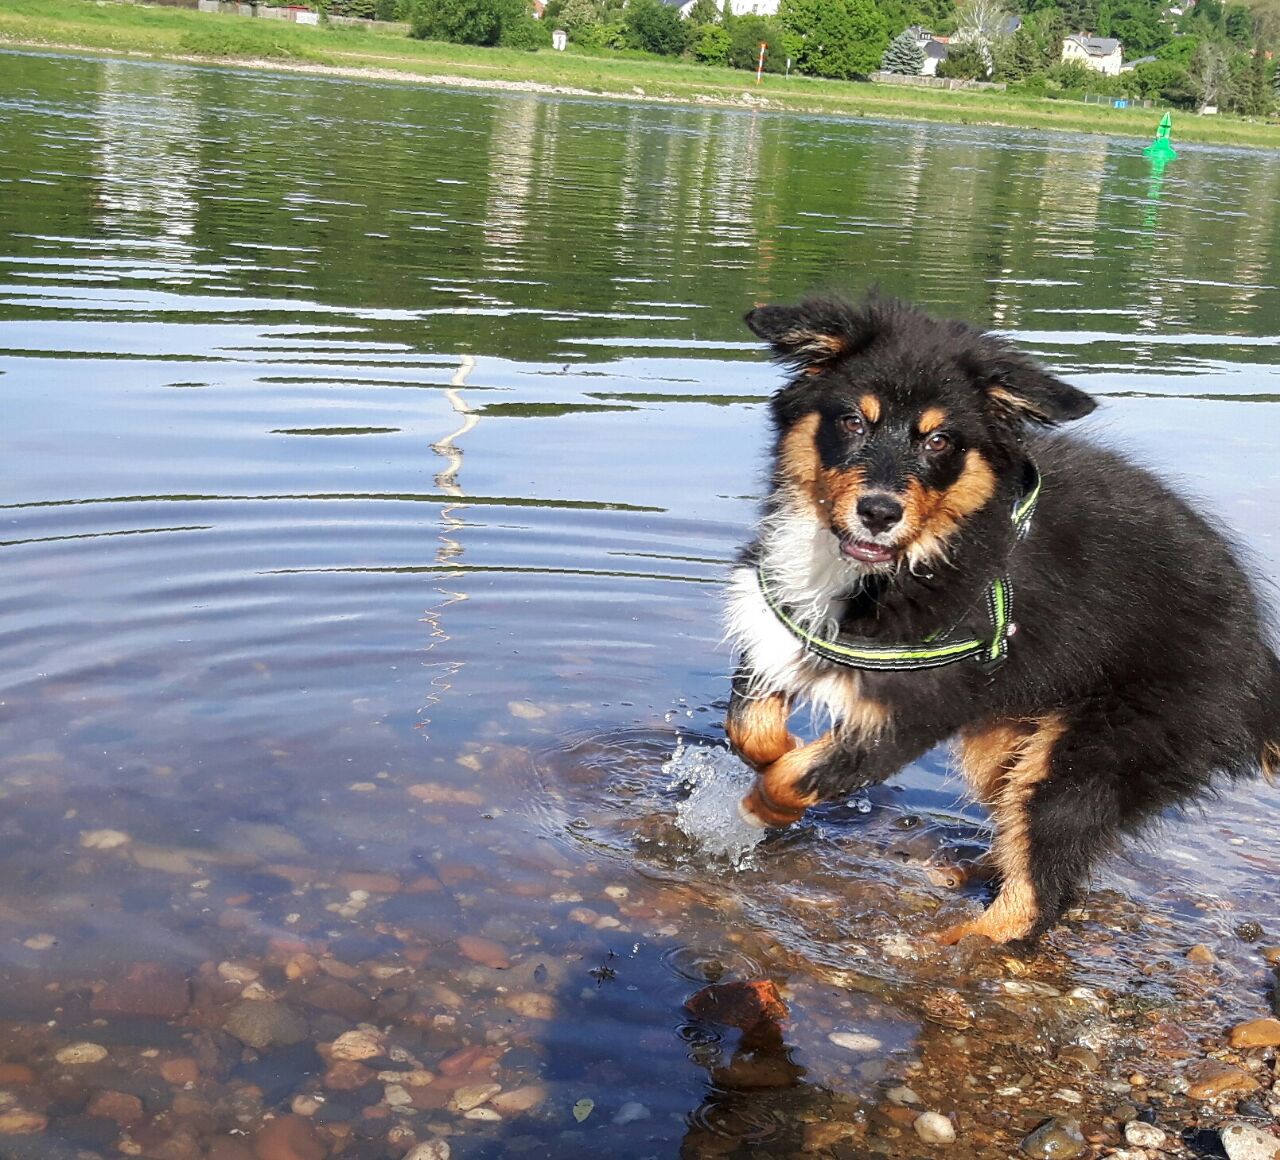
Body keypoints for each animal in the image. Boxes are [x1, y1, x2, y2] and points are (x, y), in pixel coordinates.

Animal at [727, 294, 1280, 947]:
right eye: (854, 422)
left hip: (1096, 756)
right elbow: (750, 727)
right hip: (1011, 739)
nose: (879, 512)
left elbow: (803, 773)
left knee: (1039, 895)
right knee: (1029, 853)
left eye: (940, 441)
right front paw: (777, 748)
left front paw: (765, 805)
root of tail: (1260, 667)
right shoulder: (779, 623)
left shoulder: (919, 705)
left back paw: (942, 944)